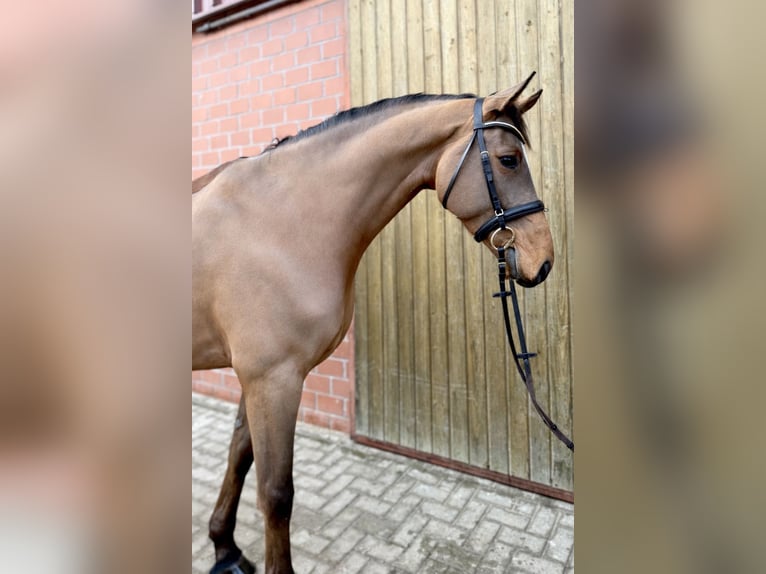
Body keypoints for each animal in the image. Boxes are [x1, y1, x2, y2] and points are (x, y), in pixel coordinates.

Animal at [192, 72, 554, 574]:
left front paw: (224, 548)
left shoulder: (255, 378)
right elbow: (276, 494)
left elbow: (239, 456)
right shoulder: (273, 379)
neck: (279, 223)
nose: (543, 262)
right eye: (508, 159)